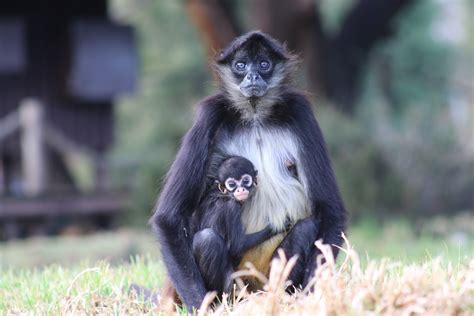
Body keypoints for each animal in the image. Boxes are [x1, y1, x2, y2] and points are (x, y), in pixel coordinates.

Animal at [153, 30, 348, 310]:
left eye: (264, 64)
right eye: (241, 65)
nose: (253, 75)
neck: (255, 115)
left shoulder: (300, 110)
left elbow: (330, 208)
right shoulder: (209, 114)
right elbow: (169, 217)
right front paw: (199, 306)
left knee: (306, 227)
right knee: (207, 239)